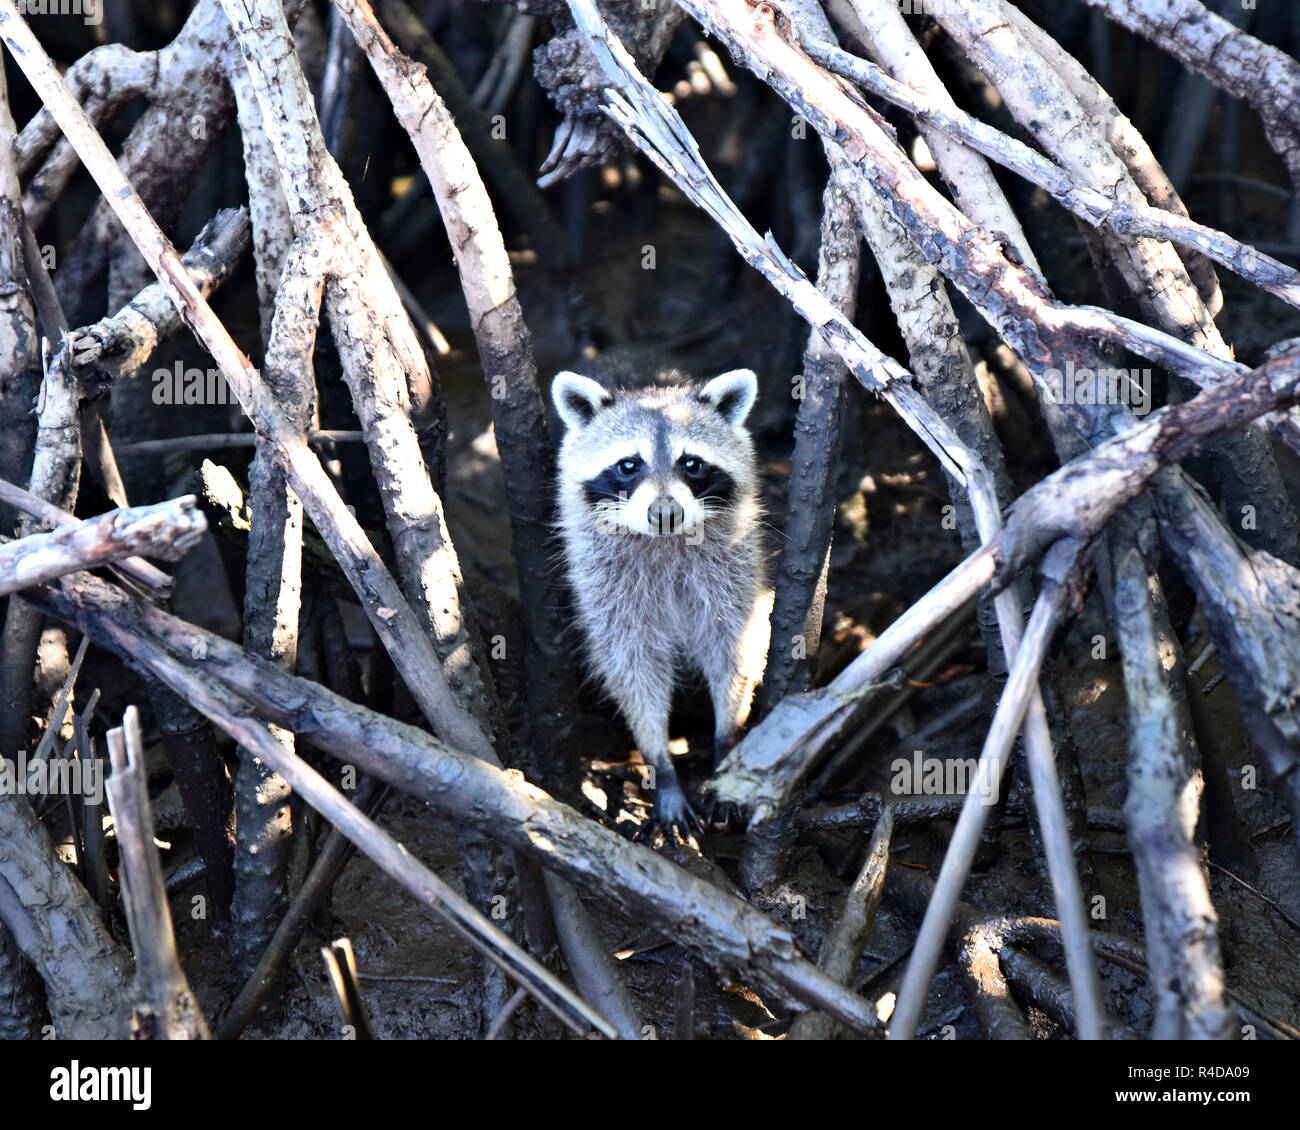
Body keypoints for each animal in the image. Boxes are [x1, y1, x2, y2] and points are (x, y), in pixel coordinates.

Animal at [551, 354, 772, 836]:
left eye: (691, 463)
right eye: (628, 465)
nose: (665, 512)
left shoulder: (733, 570)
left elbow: (735, 646)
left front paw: (728, 736)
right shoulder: (606, 587)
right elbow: (632, 666)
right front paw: (660, 763)